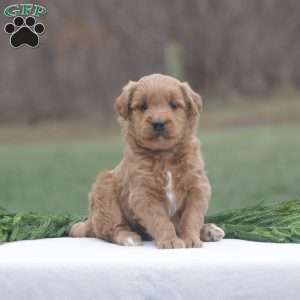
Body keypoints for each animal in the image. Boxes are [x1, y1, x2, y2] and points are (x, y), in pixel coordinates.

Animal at [70, 74, 224, 248]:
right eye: (143, 106)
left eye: (174, 105)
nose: (158, 123)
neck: (165, 156)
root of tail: (90, 220)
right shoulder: (143, 193)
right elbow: (160, 219)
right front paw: (170, 240)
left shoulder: (197, 187)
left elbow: (191, 217)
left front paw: (190, 239)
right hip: (105, 193)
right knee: (110, 229)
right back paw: (128, 237)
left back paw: (210, 230)